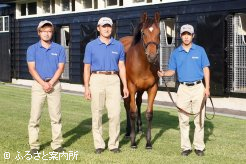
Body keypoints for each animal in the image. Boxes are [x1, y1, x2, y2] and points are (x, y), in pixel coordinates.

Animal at [120, 12, 160, 149]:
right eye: (143, 33)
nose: (152, 56)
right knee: (127, 106)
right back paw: (128, 132)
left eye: (159, 33)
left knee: (138, 102)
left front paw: (148, 142)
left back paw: (139, 129)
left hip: (141, 89)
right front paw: (133, 142)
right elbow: (132, 112)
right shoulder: (131, 88)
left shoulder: (152, 88)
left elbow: (149, 113)